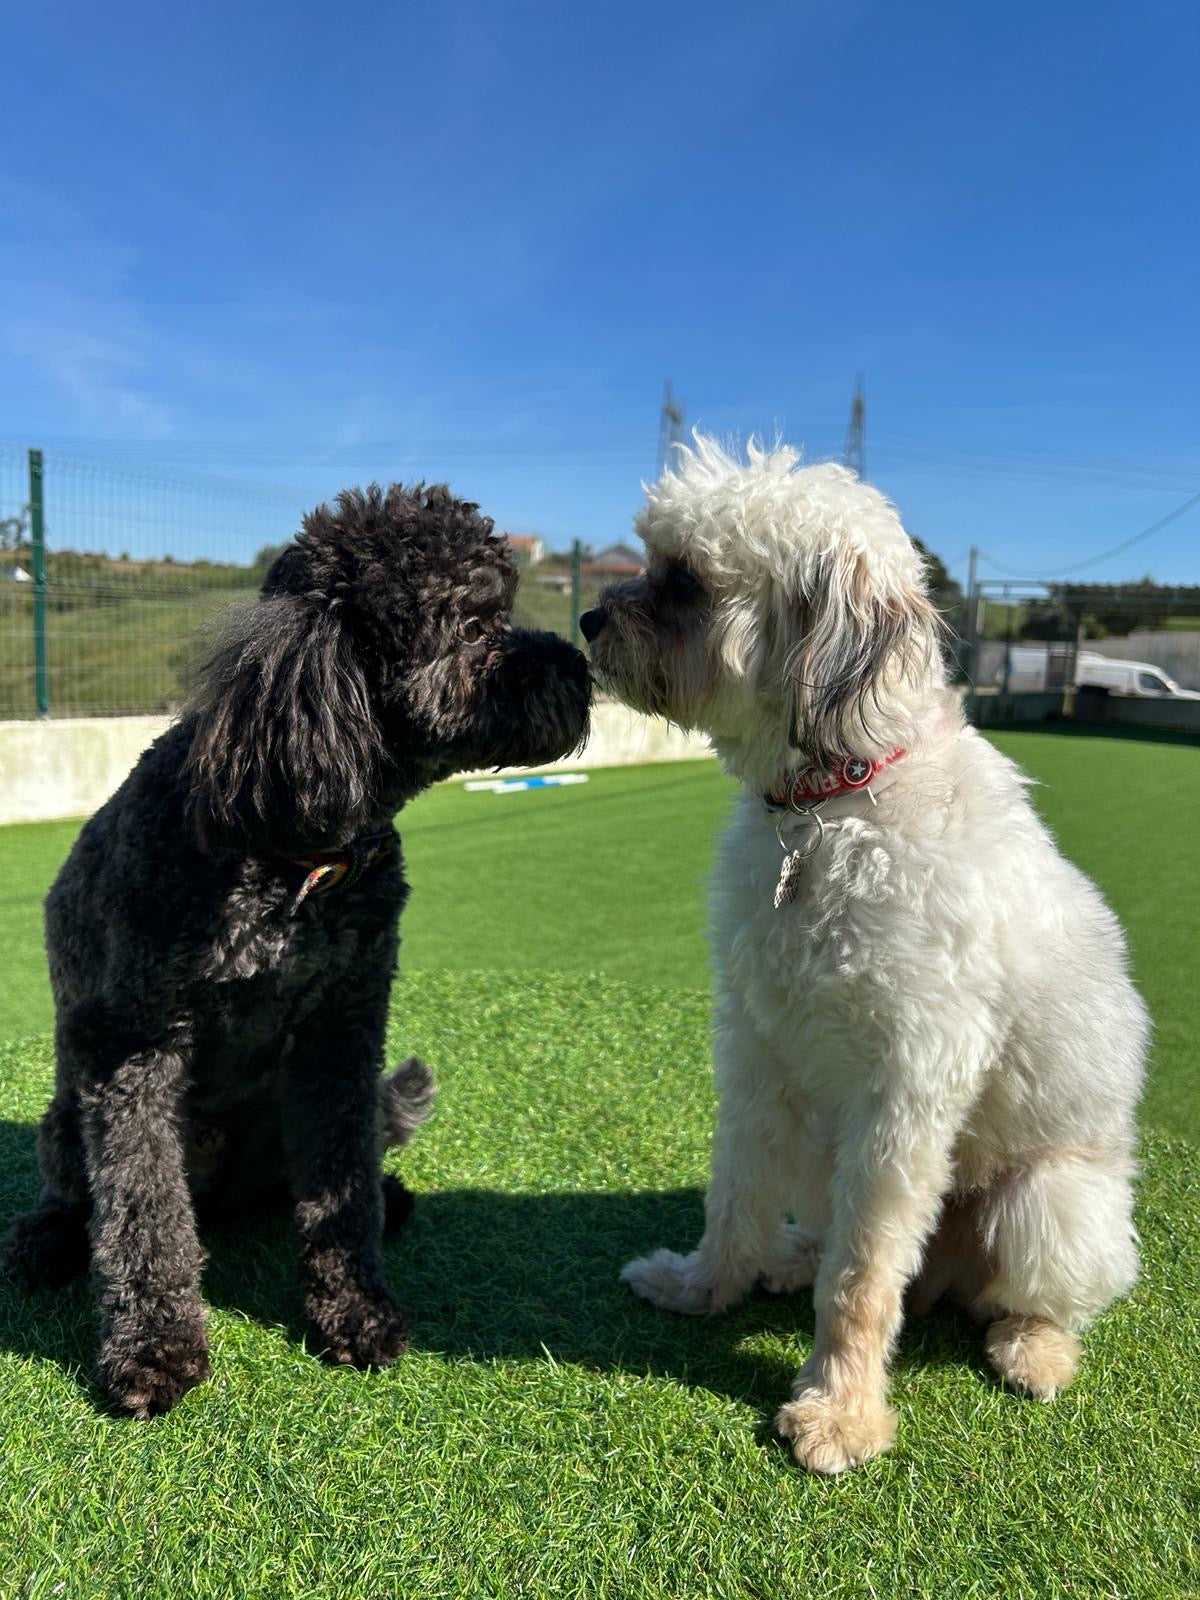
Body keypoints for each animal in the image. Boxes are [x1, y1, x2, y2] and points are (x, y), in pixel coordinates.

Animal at [1, 483, 592, 1414]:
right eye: (474, 626)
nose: (585, 668)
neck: (292, 855)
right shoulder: (132, 1045)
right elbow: (140, 1208)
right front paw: (154, 1348)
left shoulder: (343, 1030)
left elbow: (339, 1188)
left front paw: (355, 1308)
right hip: (68, 1115)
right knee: (83, 1195)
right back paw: (43, 1241)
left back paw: (388, 1195)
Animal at [588, 435, 1152, 1472]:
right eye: (646, 559)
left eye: (686, 581)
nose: (587, 615)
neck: (834, 800)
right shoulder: (757, 1047)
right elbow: (733, 1192)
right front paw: (703, 1288)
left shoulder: (910, 1086)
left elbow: (862, 1277)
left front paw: (840, 1411)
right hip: (825, 1143)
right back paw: (791, 1257)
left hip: (1049, 1202)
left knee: (1028, 1295)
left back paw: (1034, 1349)